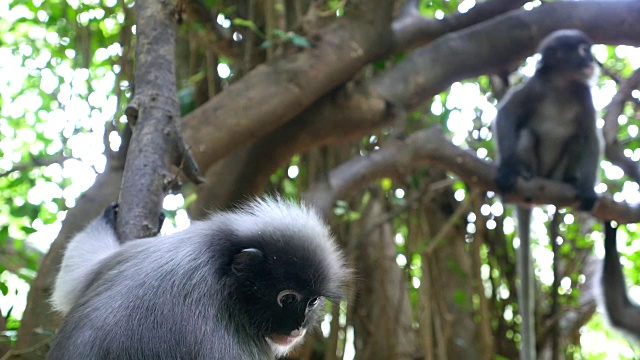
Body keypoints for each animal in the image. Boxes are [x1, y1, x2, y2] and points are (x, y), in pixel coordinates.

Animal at [48, 198, 350, 358]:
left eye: (312, 302)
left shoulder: (130, 254)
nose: (298, 328)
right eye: (287, 299)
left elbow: (69, 280)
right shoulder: (219, 344)